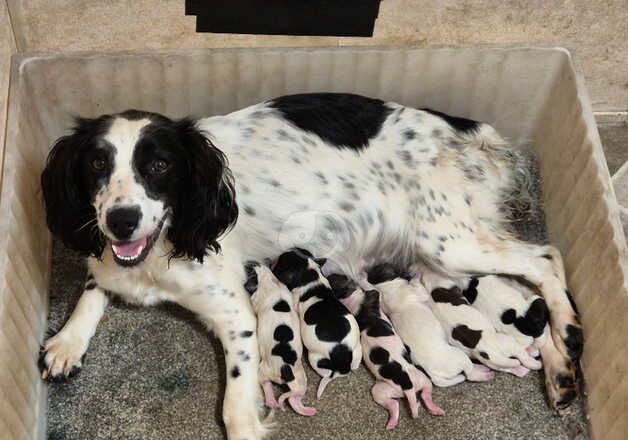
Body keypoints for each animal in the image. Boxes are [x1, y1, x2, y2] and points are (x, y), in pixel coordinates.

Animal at [244, 262, 316, 418]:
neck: (270, 280)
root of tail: (286, 370)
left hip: (263, 370)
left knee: (265, 384)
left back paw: (272, 402)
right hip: (300, 378)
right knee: (294, 398)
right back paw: (309, 411)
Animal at [272, 249, 364, 398]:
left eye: (279, 266)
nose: (271, 262)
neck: (311, 277)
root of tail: (343, 357)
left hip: (315, 359)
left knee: (330, 374)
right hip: (357, 352)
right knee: (353, 367)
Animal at [332, 276, 444, 430]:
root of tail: (409, 387)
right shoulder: (371, 296)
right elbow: (372, 289)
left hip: (417, 380)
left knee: (421, 394)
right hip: (385, 389)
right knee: (398, 402)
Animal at [368, 262, 496, 386]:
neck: (386, 288)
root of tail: (432, 375)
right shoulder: (417, 291)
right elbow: (419, 287)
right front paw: (417, 275)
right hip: (460, 356)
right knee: (469, 373)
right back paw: (482, 372)